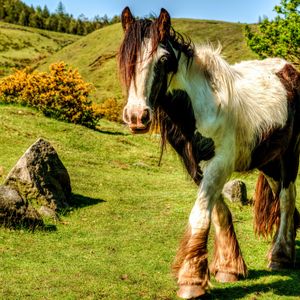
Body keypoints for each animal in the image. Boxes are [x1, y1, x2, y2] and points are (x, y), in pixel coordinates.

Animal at [118, 7, 300, 300]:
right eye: (126, 57)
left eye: (164, 59)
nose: (137, 116)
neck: (201, 106)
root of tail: (288, 69)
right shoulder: (196, 166)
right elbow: (218, 212)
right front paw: (228, 267)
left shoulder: (221, 163)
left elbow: (201, 213)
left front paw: (191, 280)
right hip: (269, 161)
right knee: (282, 197)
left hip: (289, 155)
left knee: (286, 197)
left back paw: (280, 256)